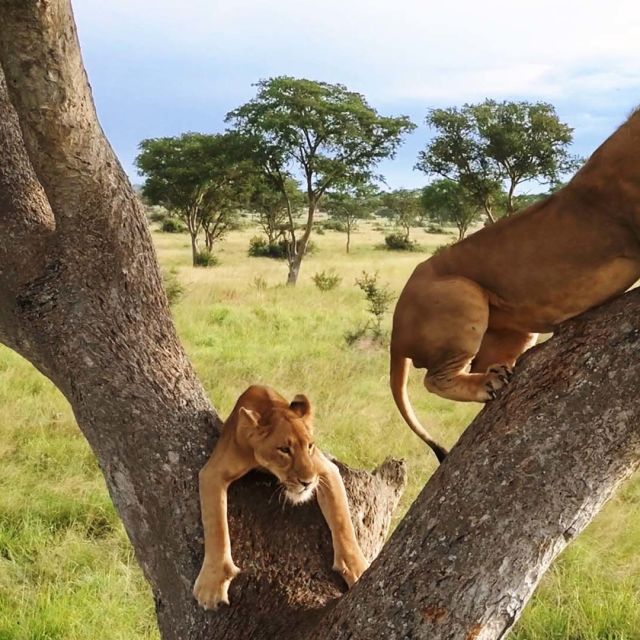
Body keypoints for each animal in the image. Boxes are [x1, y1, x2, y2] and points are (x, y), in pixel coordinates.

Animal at [193, 384, 368, 610]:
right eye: (284, 449)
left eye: (310, 446)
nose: (308, 482)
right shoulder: (213, 472)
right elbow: (216, 528)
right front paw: (211, 586)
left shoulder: (323, 469)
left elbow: (342, 522)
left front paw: (358, 569)